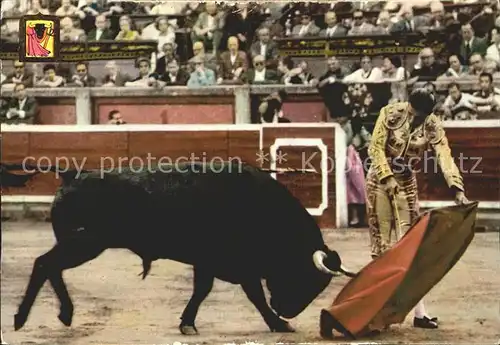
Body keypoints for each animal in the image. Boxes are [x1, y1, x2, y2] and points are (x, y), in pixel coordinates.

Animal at [0, 161, 356, 334]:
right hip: (85, 243)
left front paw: (187, 322)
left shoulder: (213, 262)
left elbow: (204, 290)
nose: (287, 310)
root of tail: (73, 174)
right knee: (45, 264)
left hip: (82, 244)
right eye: (307, 278)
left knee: (50, 266)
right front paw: (278, 324)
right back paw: (37, 316)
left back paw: (58, 314)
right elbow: (245, 293)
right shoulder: (231, 263)